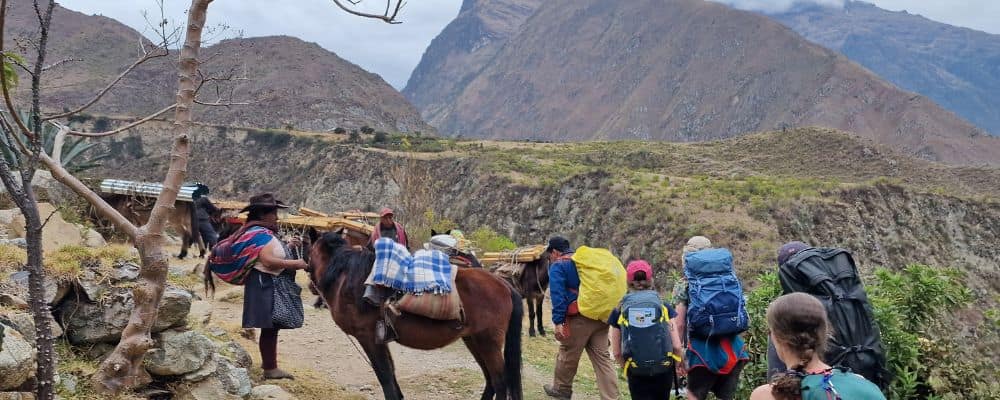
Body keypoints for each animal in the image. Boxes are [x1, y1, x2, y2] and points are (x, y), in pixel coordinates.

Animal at [308, 231, 524, 400]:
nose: (311, 288)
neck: (346, 278)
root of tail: (504, 285)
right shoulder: (381, 337)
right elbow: (391, 372)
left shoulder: (368, 338)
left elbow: (384, 375)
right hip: (474, 339)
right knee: (490, 378)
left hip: (488, 341)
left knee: (500, 381)